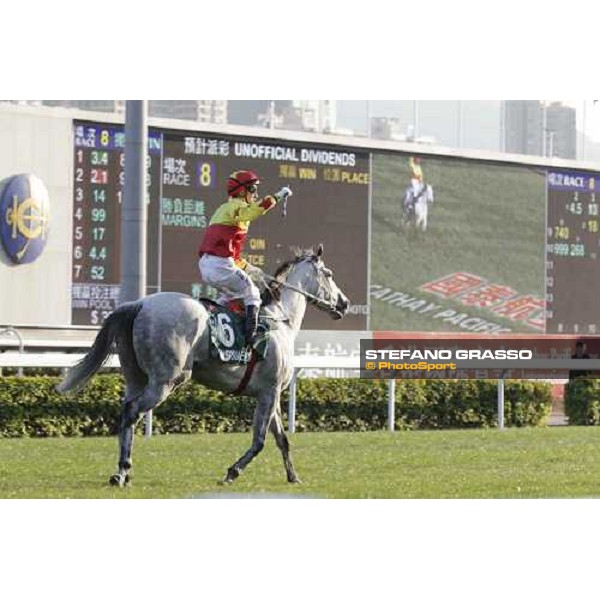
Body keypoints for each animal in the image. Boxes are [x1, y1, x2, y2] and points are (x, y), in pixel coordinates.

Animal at [56, 246, 350, 486]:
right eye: (330, 274)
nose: (344, 303)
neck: (282, 320)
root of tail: (138, 303)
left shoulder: (271, 392)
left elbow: (282, 439)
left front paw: (293, 476)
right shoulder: (270, 391)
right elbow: (260, 440)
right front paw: (232, 472)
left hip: (135, 377)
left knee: (126, 411)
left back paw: (121, 473)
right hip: (167, 380)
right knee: (132, 411)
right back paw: (123, 470)